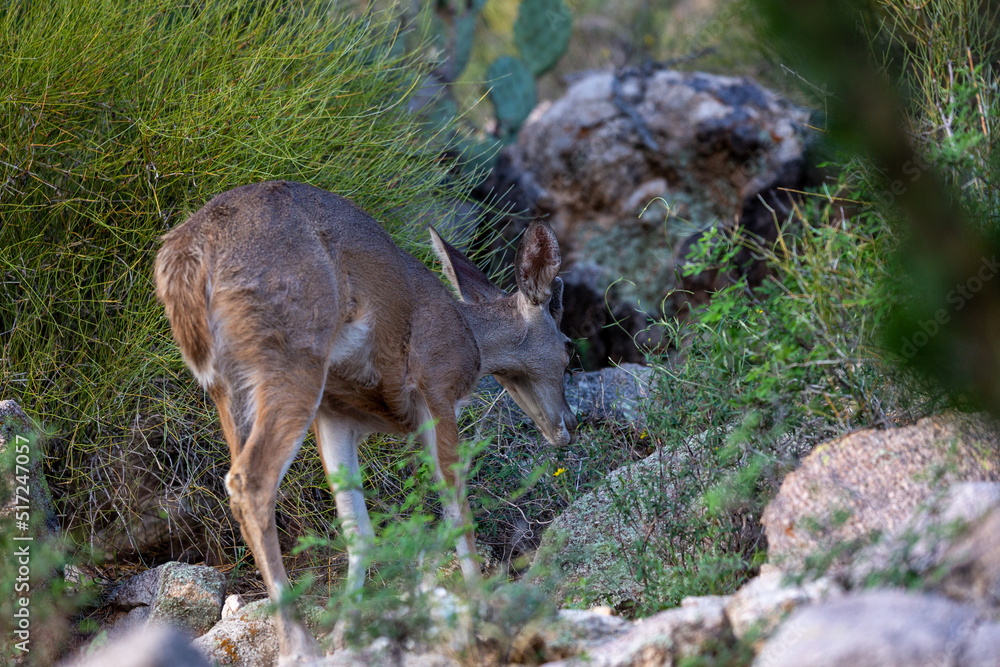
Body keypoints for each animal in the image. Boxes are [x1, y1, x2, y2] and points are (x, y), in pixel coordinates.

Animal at [153, 180, 577, 661]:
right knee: (250, 479)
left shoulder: (338, 415)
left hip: (228, 387)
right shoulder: (436, 385)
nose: (567, 425)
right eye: (568, 347)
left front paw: (346, 634)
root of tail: (186, 258)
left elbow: (359, 530)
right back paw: (298, 646)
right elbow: (456, 506)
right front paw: (481, 605)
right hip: (292, 352)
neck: (468, 338)